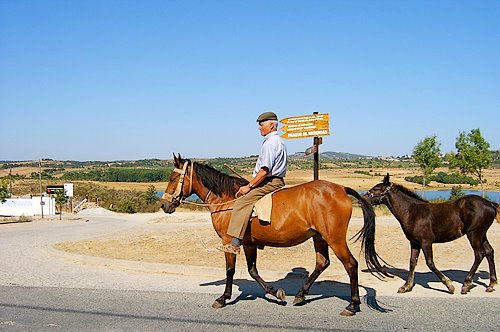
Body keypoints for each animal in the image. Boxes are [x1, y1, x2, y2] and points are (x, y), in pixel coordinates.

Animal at [162, 154, 388, 316]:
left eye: (173, 178)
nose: (164, 205)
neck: (227, 199)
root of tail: (341, 188)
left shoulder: (229, 242)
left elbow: (230, 270)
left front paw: (223, 297)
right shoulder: (249, 244)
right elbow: (253, 271)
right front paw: (275, 293)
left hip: (334, 238)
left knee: (351, 264)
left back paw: (352, 305)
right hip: (319, 237)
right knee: (322, 263)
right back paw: (300, 295)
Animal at [364, 174, 500, 294]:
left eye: (376, 189)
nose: (363, 199)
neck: (412, 212)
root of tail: (490, 204)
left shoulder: (426, 242)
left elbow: (430, 263)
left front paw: (449, 286)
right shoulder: (414, 243)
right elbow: (412, 262)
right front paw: (406, 286)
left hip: (474, 234)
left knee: (479, 254)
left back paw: (466, 284)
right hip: (482, 235)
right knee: (489, 252)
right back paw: (491, 284)